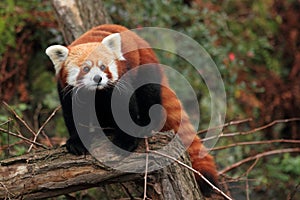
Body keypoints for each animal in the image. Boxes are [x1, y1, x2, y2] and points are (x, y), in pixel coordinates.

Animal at [45, 24, 218, 196]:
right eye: (85, 68)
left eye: (103, 67)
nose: (98, 79)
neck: (96, 92)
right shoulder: (66, 91)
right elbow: (73, 116)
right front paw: (77, 142)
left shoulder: (120, 83)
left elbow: (126, 109)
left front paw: (125, 141)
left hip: (145, 67)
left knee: (149, 95)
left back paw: (148, 126)